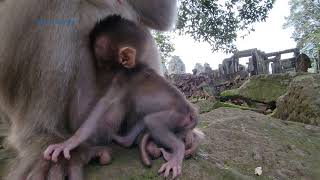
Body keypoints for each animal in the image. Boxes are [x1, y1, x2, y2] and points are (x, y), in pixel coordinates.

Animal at [44, 15, 200, 179]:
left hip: (176, 117)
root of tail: (191, 111)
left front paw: (68, 143)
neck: (136, 64)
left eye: (103, 62)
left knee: (154, 121)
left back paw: (177, 152)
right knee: (144, 118)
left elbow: (103, 106)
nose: (100, 70)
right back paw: (125, 140)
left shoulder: (121, 78)